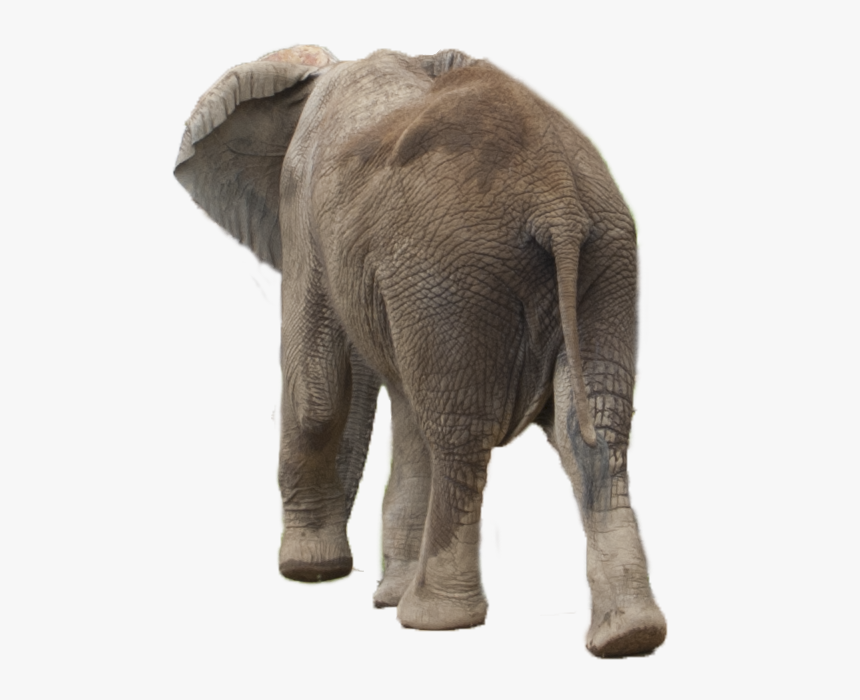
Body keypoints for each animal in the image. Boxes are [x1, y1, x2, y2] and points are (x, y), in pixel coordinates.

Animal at [174, 44, 666, 657]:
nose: (344, 573)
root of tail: (557, 199)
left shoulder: (303, 201)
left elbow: (316, 389)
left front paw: (310, 572)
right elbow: (403, 405)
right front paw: (378, 593)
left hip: (456, 273)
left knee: (460, 433)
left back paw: (433, 619)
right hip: (599, 264)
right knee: (595, 428)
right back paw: (629, 635)